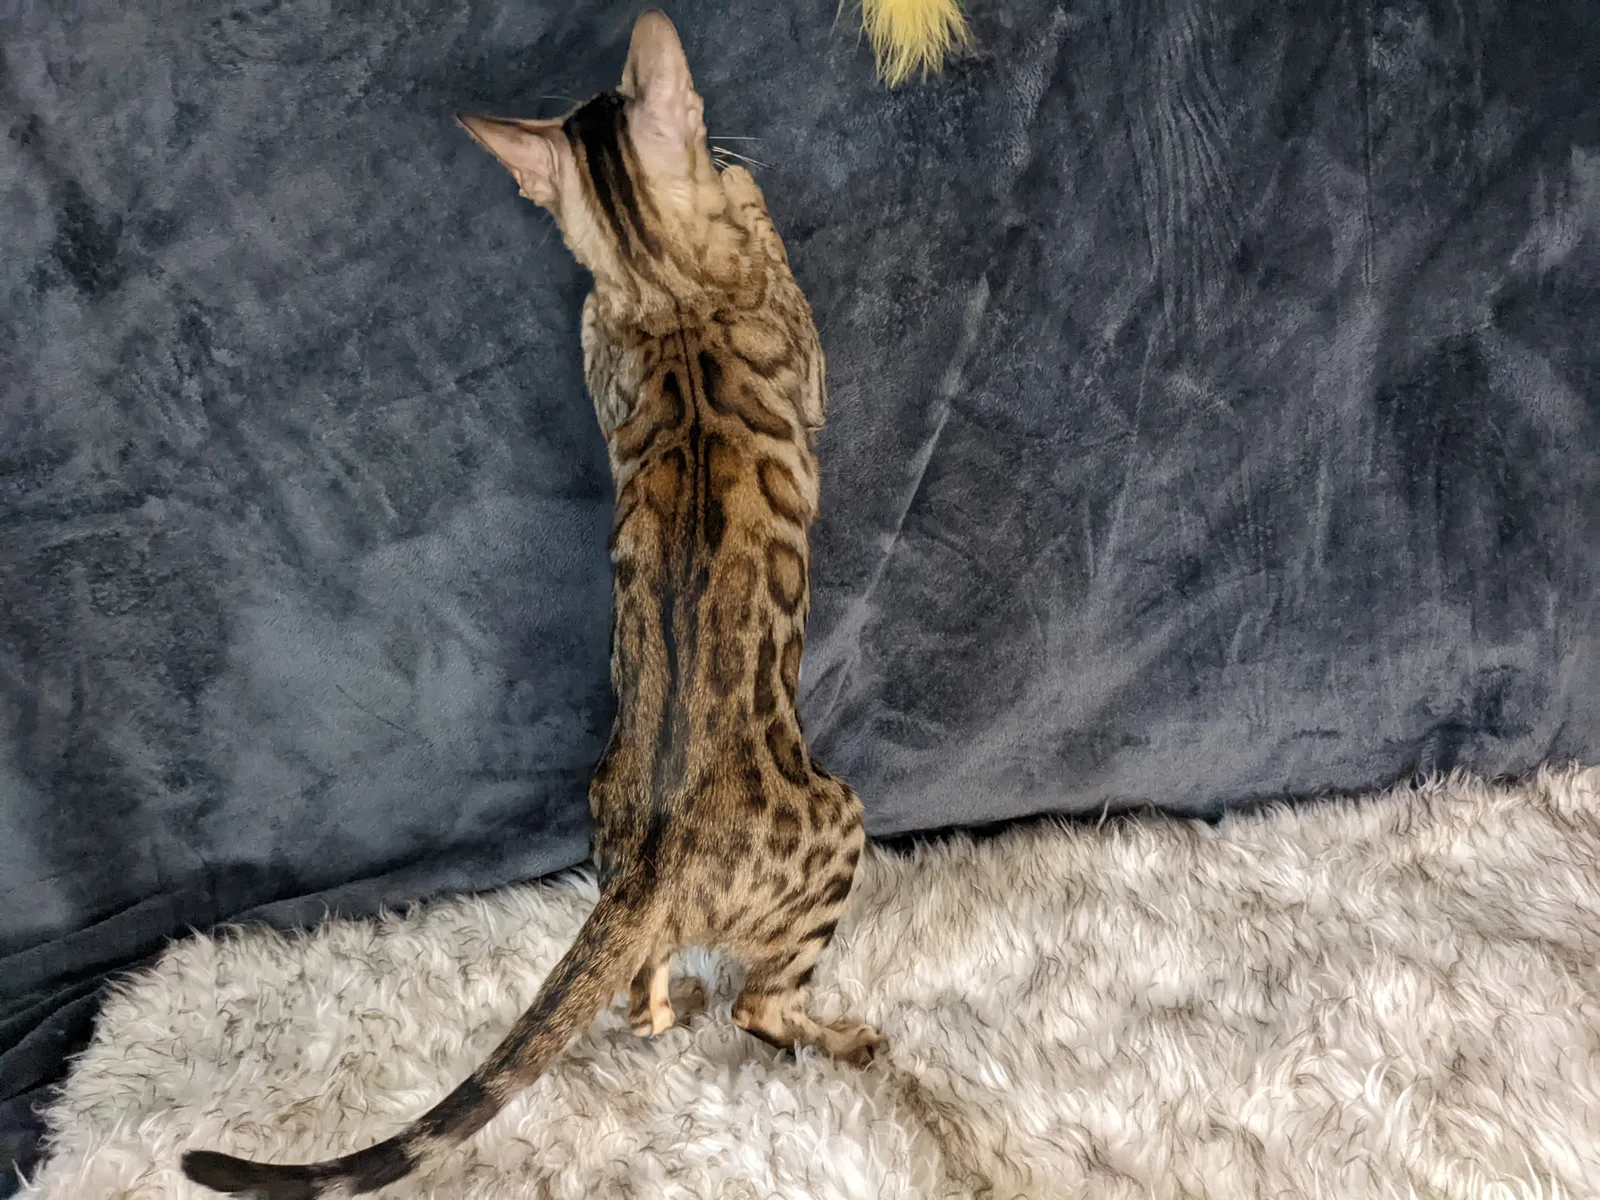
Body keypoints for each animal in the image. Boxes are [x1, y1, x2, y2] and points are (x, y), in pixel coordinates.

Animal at [181, 11, 883, 1198]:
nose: (722, 141)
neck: (663, 283)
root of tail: (649, 867)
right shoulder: (795, 335)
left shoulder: (602, 330)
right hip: (839, 824)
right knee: (754, 1007)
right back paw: (850, 1041)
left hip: (620, 849)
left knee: (650, 996)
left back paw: (659, 999)